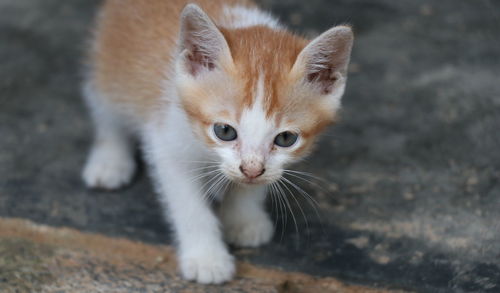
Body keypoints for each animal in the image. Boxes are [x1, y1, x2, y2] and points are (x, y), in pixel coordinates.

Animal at [82, 0, 354, 282]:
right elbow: (189, 205)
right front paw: (207, 258)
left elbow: (255, 184)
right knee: (105, 110)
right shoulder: (168, 139)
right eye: (224, 131)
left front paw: (244, 219)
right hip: (111, 65)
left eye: (286, 138)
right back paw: (109, 161)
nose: (251, 170)